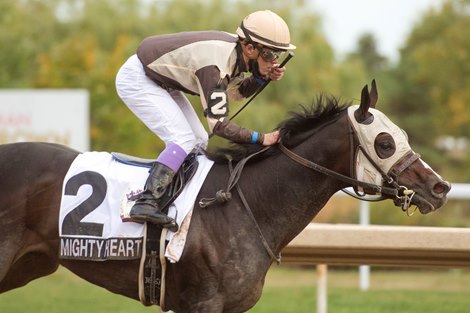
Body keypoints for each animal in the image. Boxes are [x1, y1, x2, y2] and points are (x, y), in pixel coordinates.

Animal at [0, 81, 452, 312]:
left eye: (402, 136)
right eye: (384, 143)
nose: (440, 188)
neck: (244, 204)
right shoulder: (202, 305)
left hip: (26, 266)